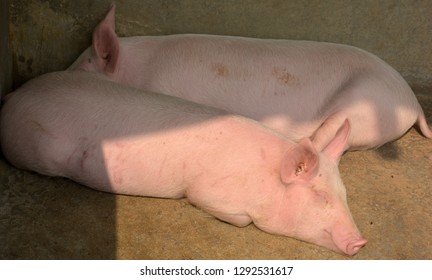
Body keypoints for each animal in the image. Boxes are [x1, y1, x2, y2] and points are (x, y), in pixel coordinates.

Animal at [0, 70, 366, 256]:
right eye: (321, 197)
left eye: (345, 195)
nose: (360, 242)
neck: (265, 176)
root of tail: (13, 96)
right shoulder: (206, 191)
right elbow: (235, 217)